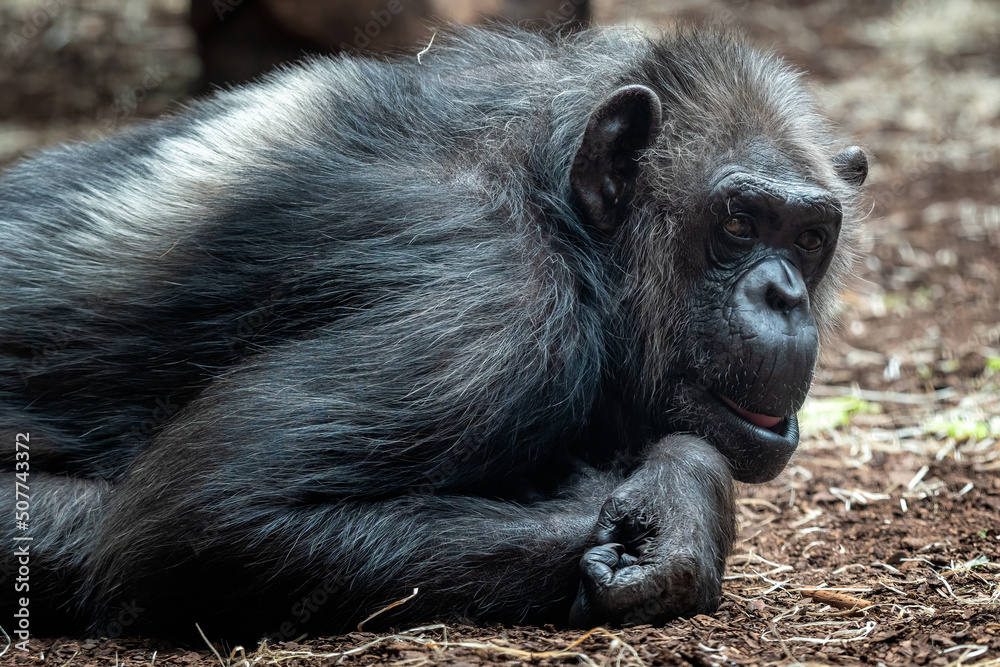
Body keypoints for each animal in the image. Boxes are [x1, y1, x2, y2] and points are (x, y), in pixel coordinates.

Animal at [0, 25, 868, 642]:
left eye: (809, 237)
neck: (570, 228)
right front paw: (680, 501)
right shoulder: (492, 312)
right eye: (736, 223)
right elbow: (208, 514)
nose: (783, 293)